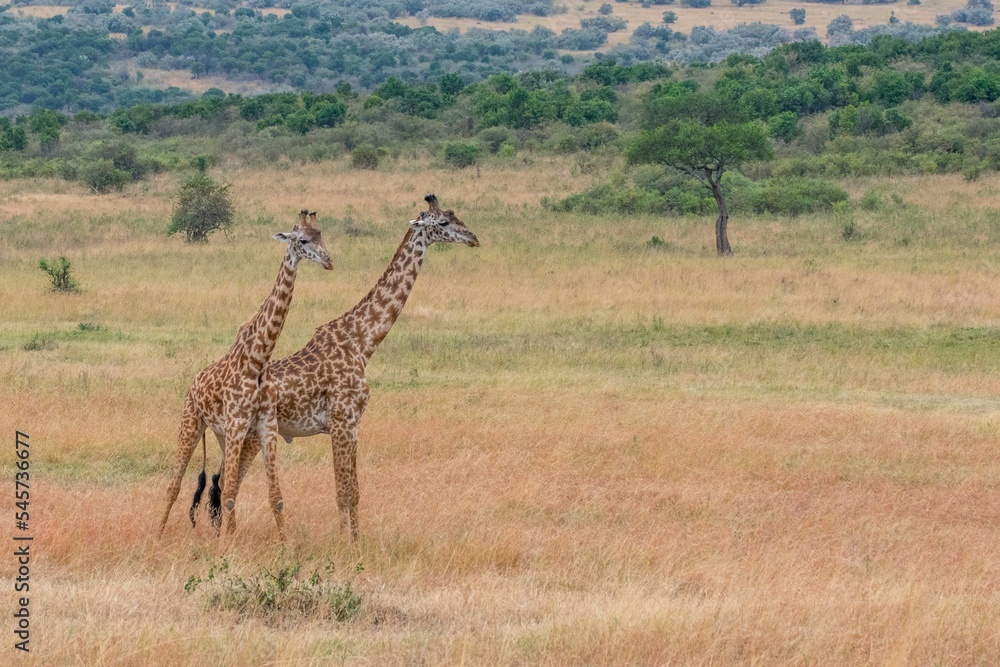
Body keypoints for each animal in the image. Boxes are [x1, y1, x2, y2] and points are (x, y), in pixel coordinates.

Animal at [157, 210, 334, 543]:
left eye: (322, 236)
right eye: (303, 240)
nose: (329, 261)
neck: (259, 358)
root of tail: (193, 384)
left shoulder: (266, 425)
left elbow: (275, 496)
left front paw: (286, 545)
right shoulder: (239, 422)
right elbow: (227, 492)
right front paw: (226, 545)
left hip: (221, 435)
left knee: (220, 483)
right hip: (191, 423)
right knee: (174, 486)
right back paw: (158, 536)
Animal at [198, 194, 478, 541]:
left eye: (455, 215)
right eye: (443, 222)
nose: (473, 238)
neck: (362, 341)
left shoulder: (353, 424)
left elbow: (350, 488)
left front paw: (352, 538)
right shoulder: (343, 420)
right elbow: (345, 490)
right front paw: (350, 543)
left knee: (223, 481)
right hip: (248, 436)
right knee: (226, 482)